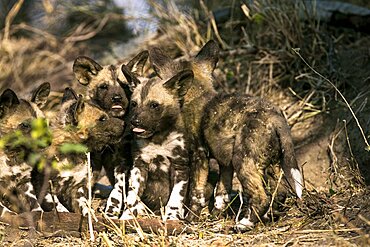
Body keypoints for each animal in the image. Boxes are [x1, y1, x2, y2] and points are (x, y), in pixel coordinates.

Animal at [0, 83, 49, 216]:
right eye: (25, 125)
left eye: (44, 123)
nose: (48, 142)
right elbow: (4, 211)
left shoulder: (24, 183)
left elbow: (36, 205)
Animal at [116, 65, 194, 220]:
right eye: (134, 104)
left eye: (154, 105)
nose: (135, 121)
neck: (158, 139)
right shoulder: (139, 166)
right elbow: (132, 197)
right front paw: (127, 217)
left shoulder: (180, 168)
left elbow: (175, 200)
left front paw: (172, 218)